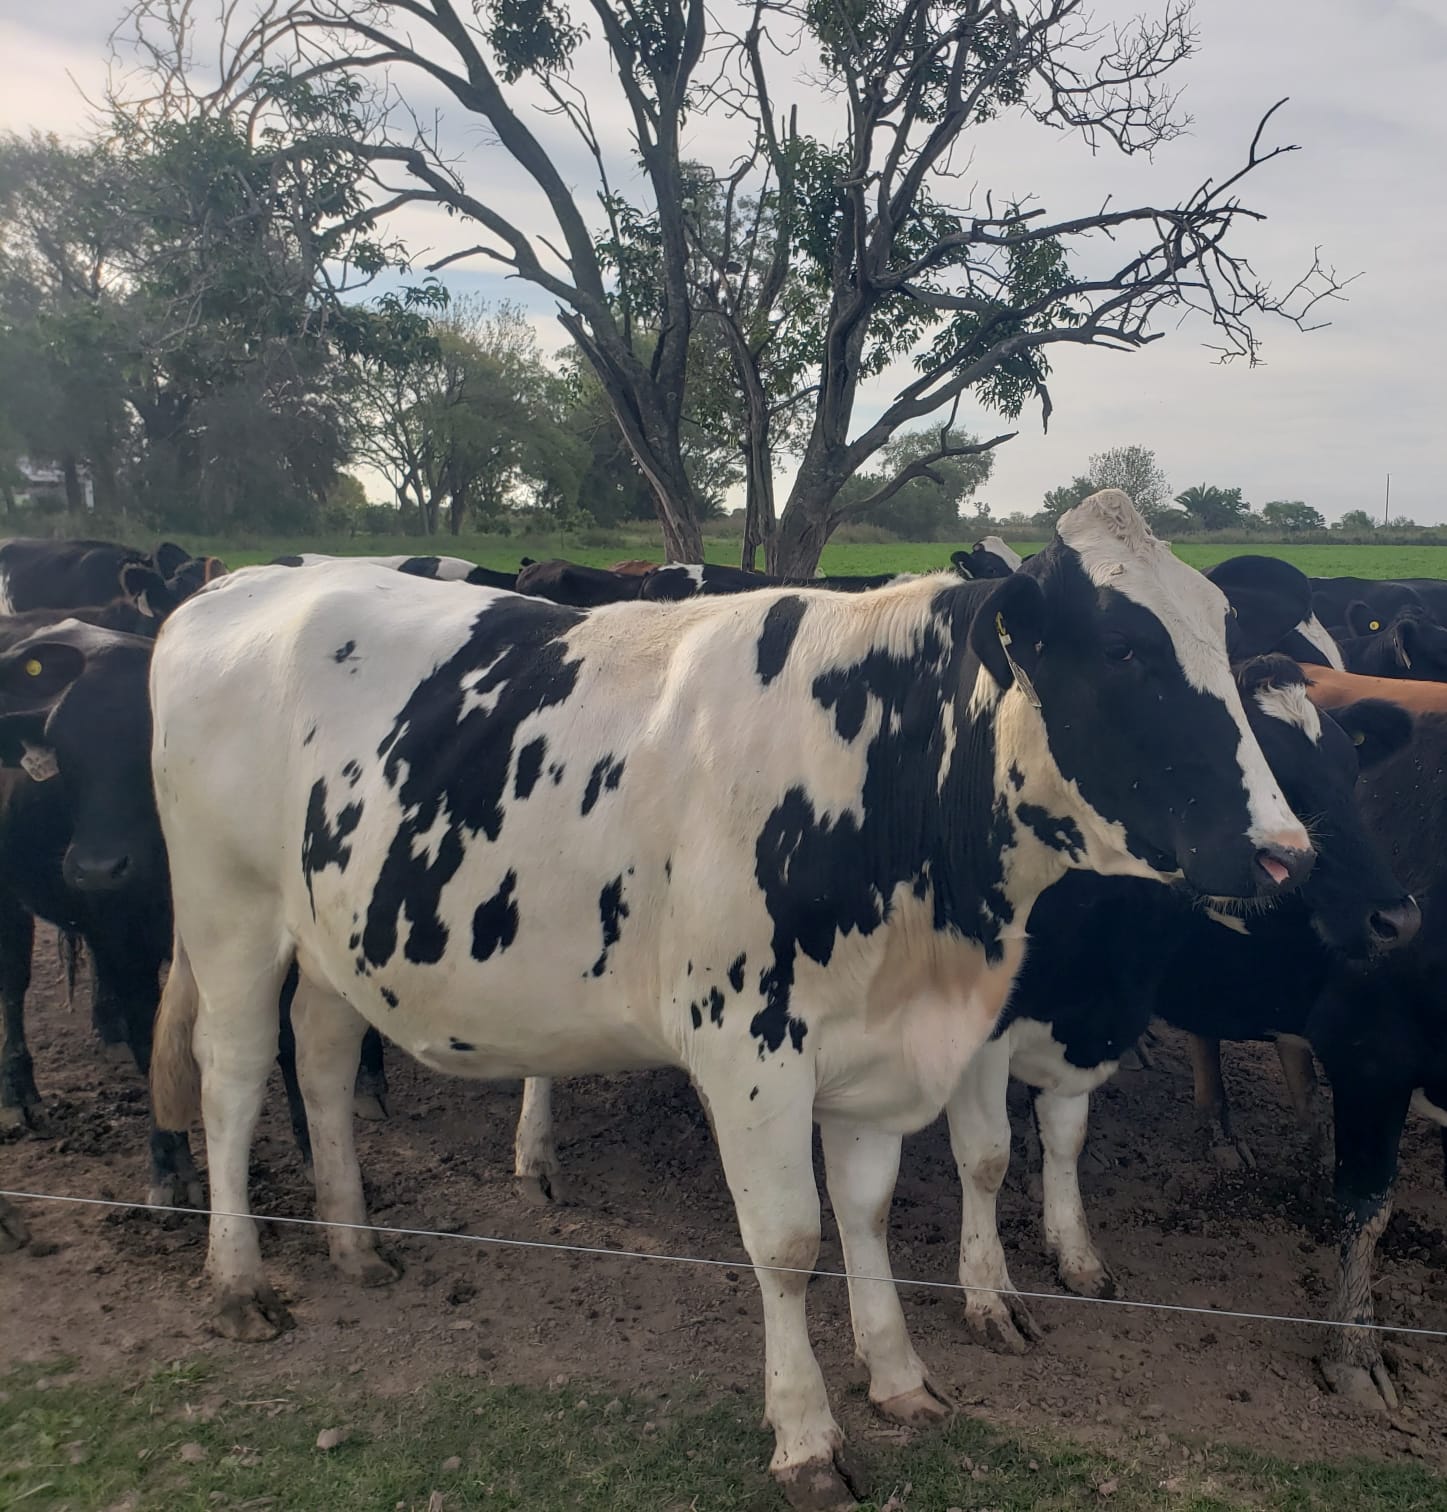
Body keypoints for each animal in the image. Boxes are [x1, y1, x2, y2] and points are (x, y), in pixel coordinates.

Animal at [0, 616, 202, 1206]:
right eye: (65, 756)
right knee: (12, 984)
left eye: (149, 748)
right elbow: (149, 1038)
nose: (95, 869)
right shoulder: (122, 940)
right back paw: (20, 1094)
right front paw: (170, 1165)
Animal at [146, 491, 1315, 1507]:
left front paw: (899, 1378)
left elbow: (866, 1213)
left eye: (1216, 636)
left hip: (333, 939)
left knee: (323, 1061)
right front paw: (806, 1438)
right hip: (227, 912)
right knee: (233, 1079)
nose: (1285, 853)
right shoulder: (751, 1048)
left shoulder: (871, 1048)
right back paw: (240, 1280)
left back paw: (354, 1243)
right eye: (1124, 650)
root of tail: (235, 588)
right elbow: (789, 1243)